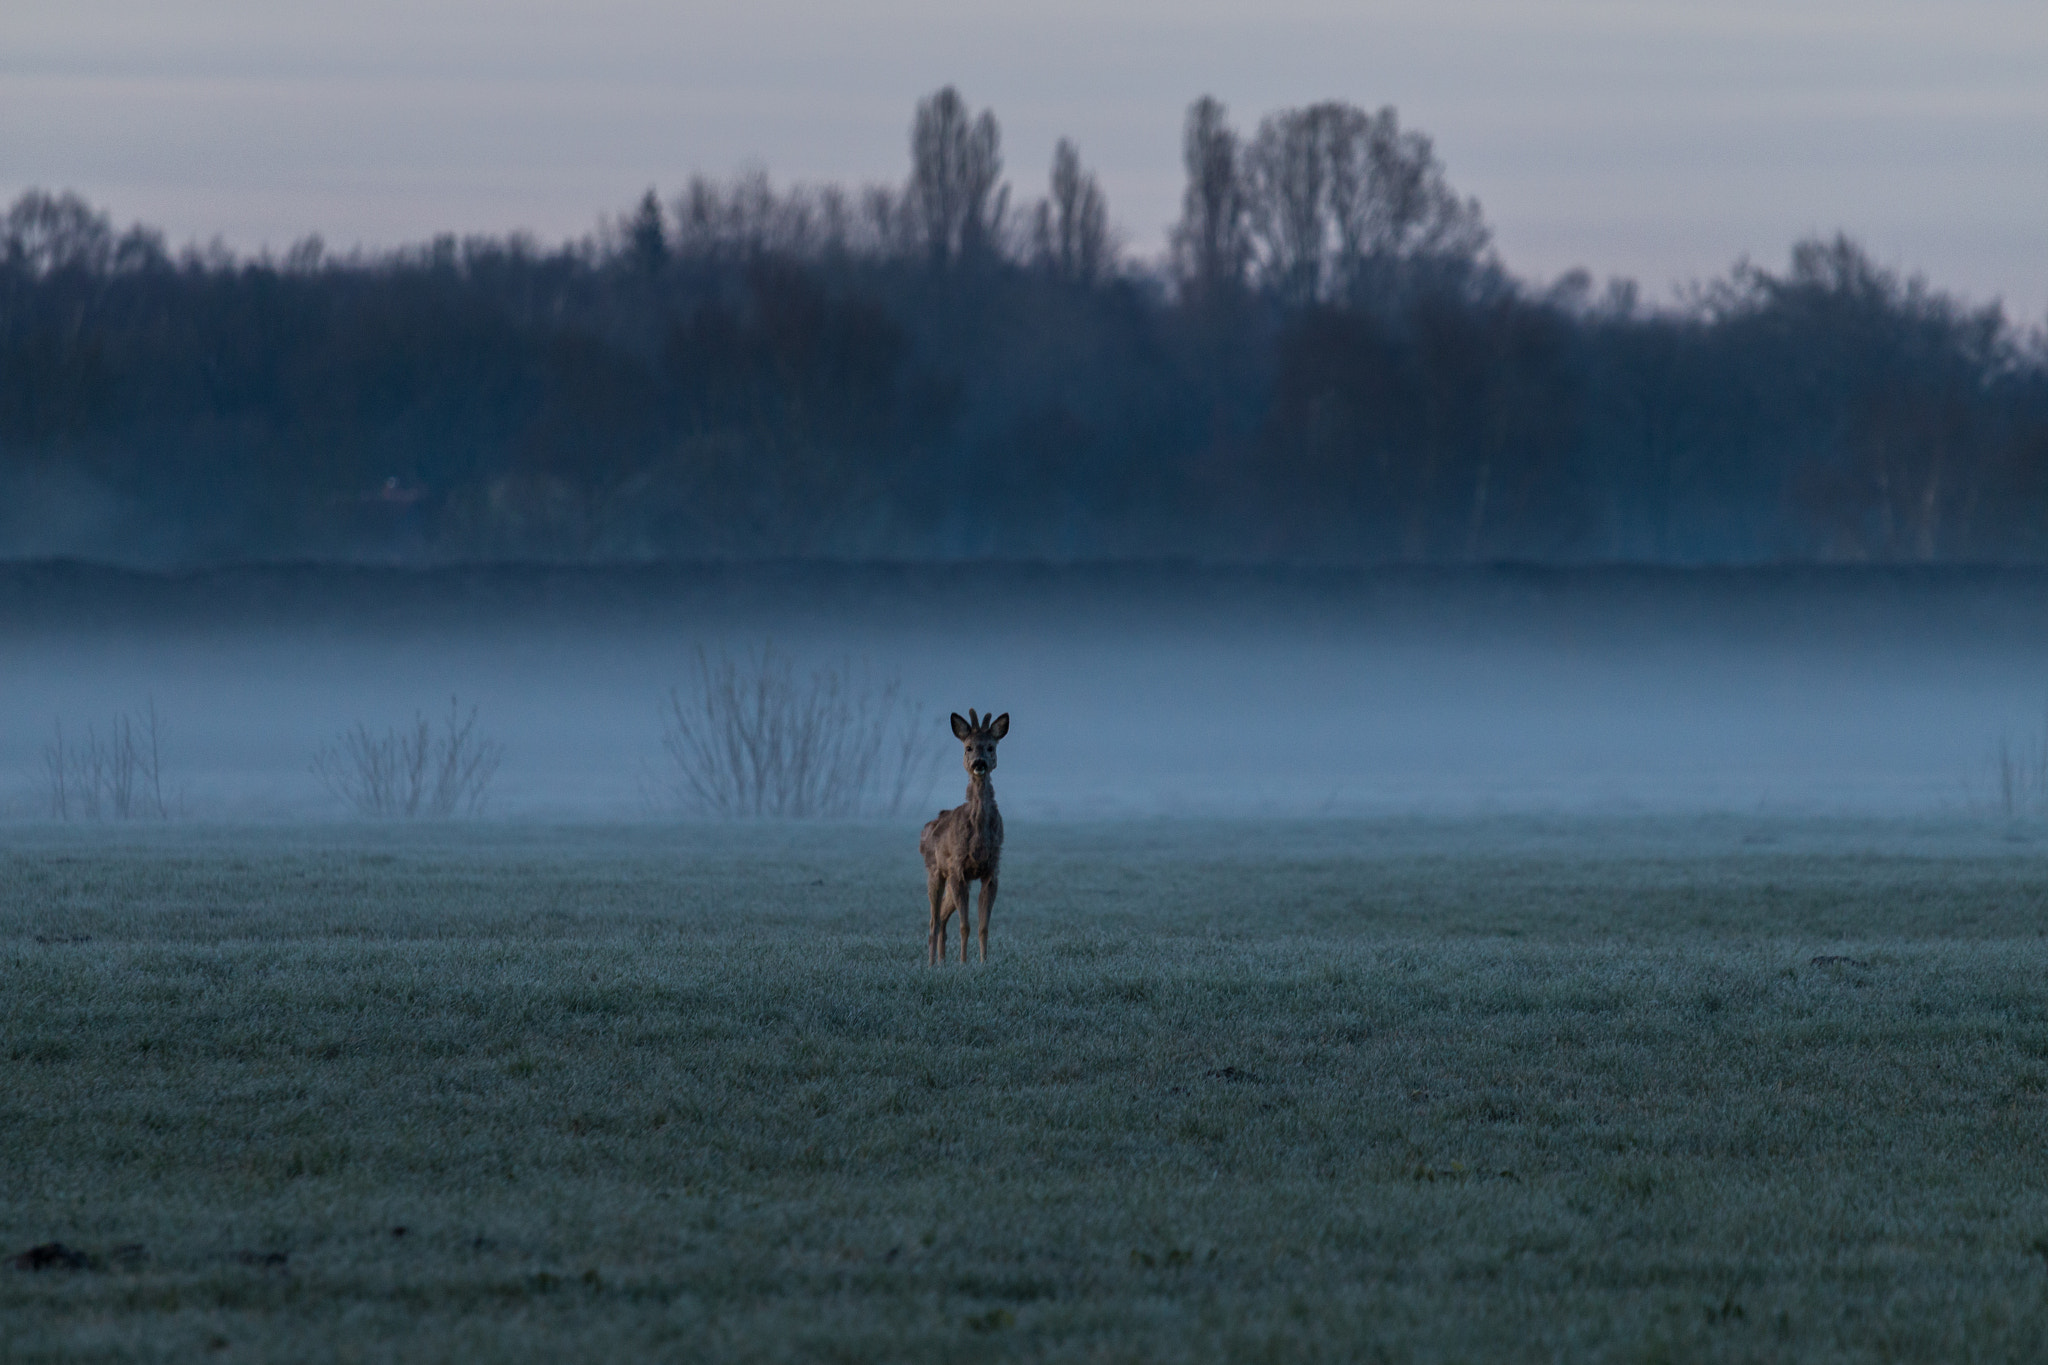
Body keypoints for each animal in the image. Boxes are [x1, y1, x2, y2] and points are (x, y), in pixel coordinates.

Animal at [921, 712, 1007, 965]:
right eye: (968, 747)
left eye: (990, 747)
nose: (979, 763)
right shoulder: (958, 868)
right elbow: (965, 925)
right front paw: (963, 963)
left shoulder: (991, 871)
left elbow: (983, 927)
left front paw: (983, 963)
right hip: (935, 871)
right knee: (933, 919)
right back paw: (931, 964)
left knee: (941, 916)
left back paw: (941, 962)